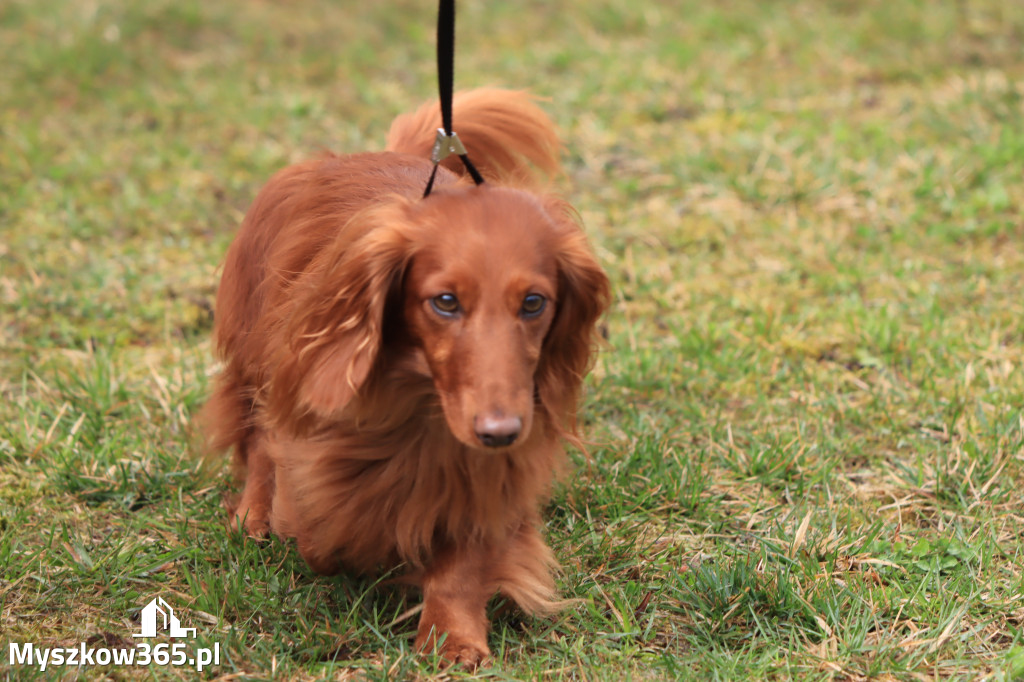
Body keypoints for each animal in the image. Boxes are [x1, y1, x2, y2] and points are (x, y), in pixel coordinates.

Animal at [203, 89, 610, 663]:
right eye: (445, 301)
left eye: (534, 302)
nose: (500, 432)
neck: (422, 410)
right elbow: (318, 523)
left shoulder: (489, 473)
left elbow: (463, 561)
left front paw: (452, 638)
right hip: (256, 356)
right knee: (259, 438)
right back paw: (254, 515)